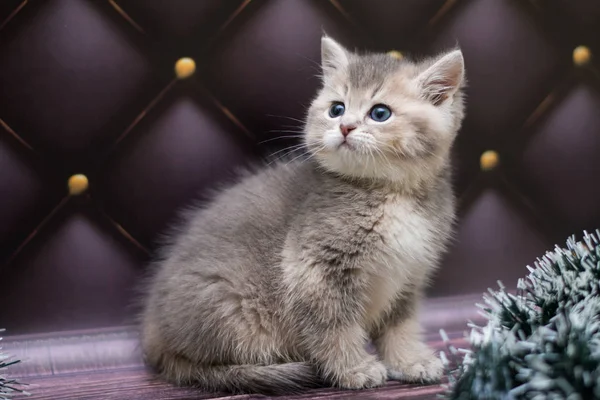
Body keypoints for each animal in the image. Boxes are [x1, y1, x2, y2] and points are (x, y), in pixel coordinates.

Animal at [139, 36, 464, 394]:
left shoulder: (410, 273)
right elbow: (334, 326)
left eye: (380, 113)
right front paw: (353, 369)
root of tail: (153, 335)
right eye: (336, 109)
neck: (390, 192)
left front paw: (409, 361)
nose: (345, 126)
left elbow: (399, 326)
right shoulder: (316, 270)